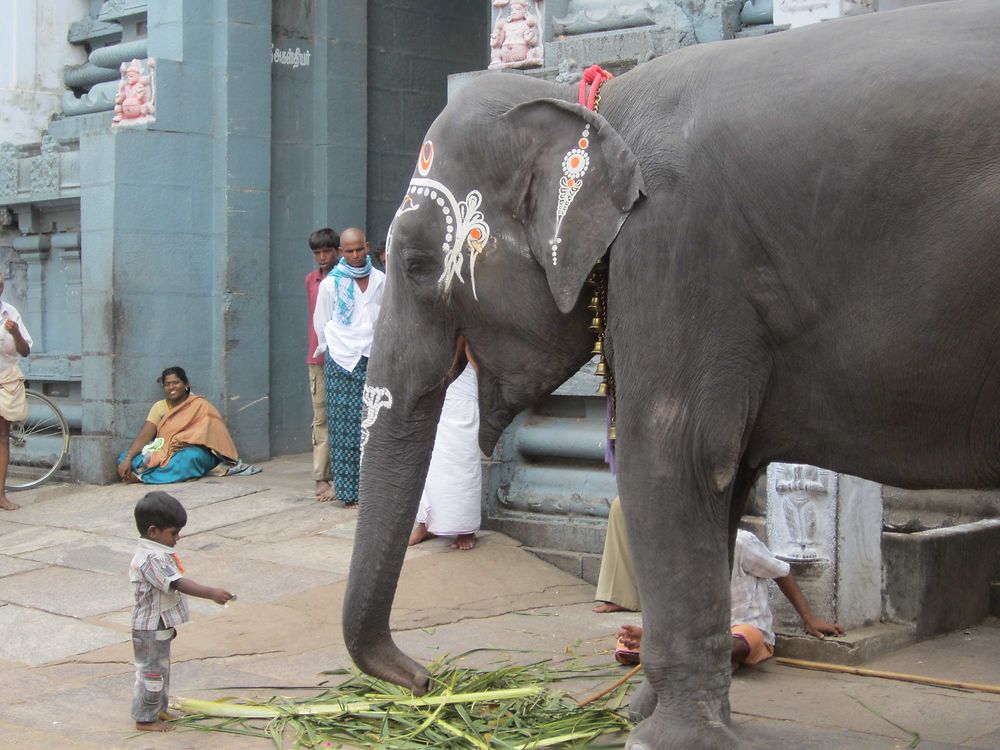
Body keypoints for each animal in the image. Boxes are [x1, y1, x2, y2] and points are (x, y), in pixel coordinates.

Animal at [344, 2, 1000, 748]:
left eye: (417, 263)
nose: (426, 680)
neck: (595, 108)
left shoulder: (678, 247)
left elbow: (675, 455)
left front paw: (661, 738)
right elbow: (723, 477)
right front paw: (646, 716)